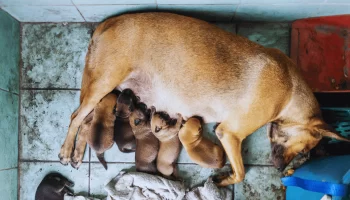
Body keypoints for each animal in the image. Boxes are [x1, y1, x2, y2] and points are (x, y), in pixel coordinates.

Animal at [60, 12, 350, 186]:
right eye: (303, 150)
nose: (280, 170)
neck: (290, 92)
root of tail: (106, 23)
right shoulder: (229, 134)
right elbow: (241, 173)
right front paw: (224, 179)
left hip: (104, 91)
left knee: (86, 121)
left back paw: (77, 152)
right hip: (103, 83)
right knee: (75, 116)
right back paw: (65, 150)